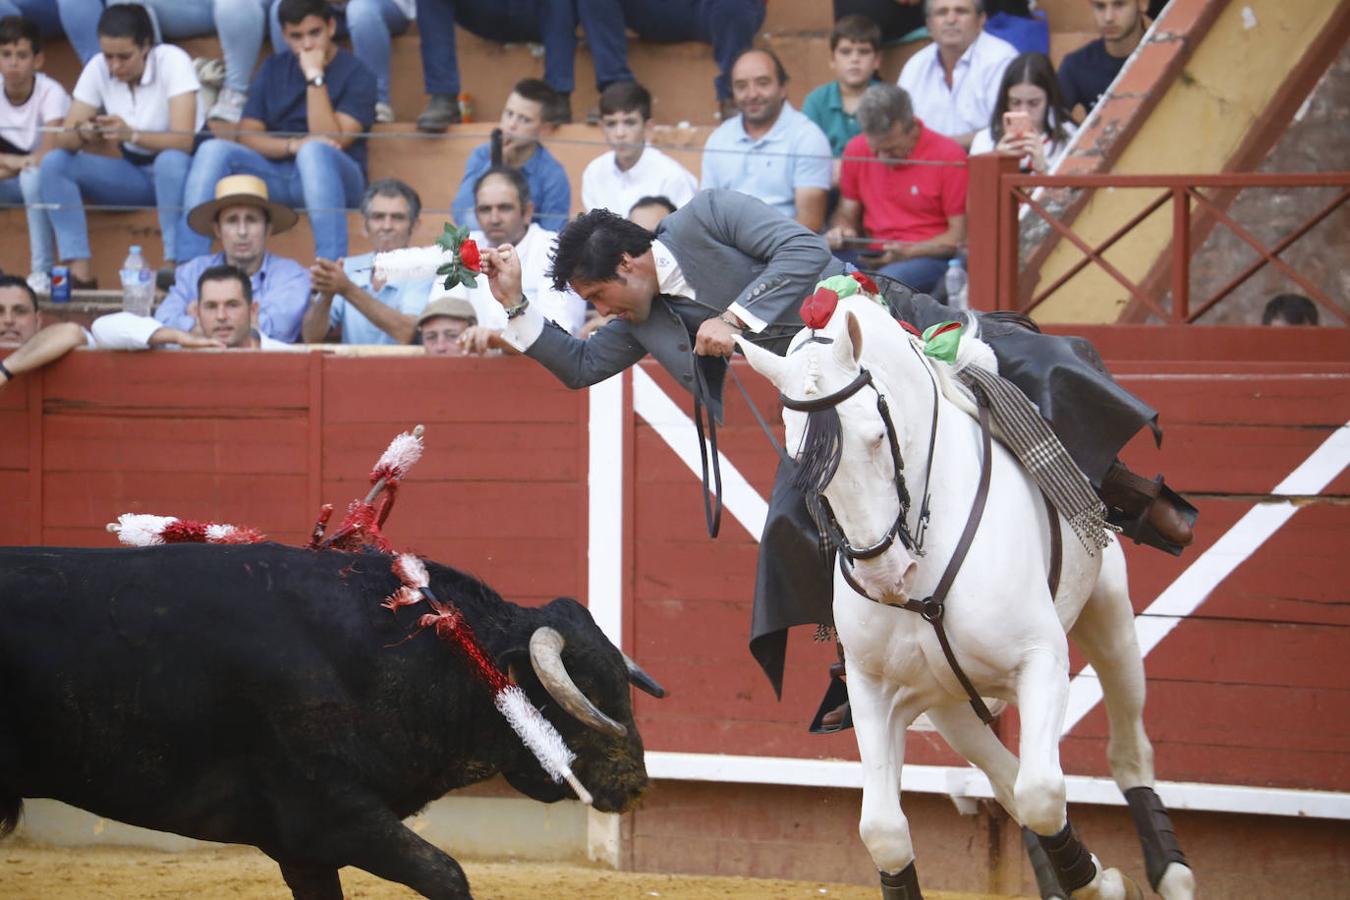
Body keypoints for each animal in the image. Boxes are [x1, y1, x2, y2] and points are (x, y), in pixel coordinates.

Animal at [739, 292, 1193, 895]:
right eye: (797, 457)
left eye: (876, 436)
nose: (884, 575)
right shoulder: (874, 689)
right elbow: (885, 831)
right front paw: (1091, 879)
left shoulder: (1040, 659)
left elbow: (1042, 793)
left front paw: (1105, 885)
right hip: (951, 706)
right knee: (1005, 780)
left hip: (1108, 610)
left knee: (1126, 751)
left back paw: (1172, 876)